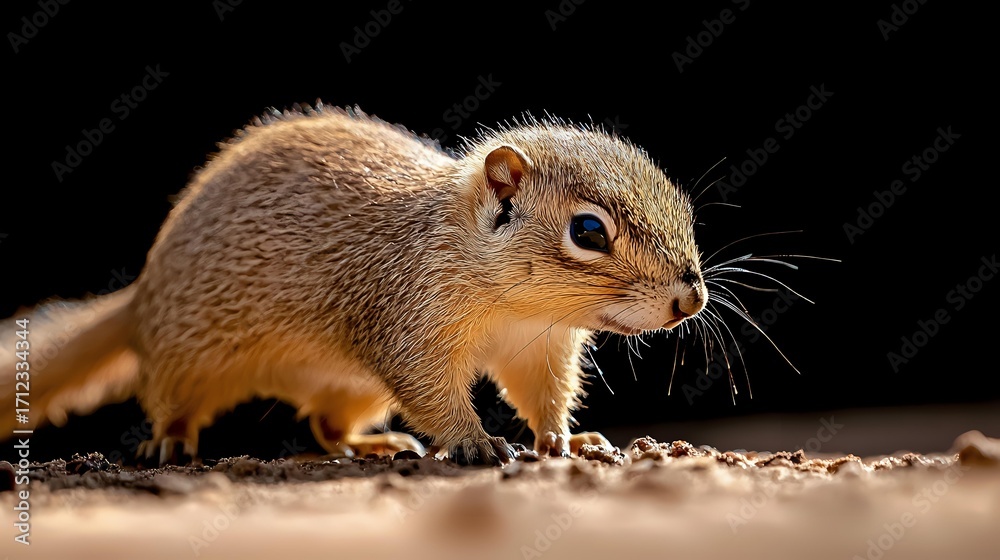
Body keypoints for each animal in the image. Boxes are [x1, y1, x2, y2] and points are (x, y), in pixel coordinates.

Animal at [1, 104, 706, 465]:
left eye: (681, 203)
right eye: (588, 231)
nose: (691, 297)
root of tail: (142, 293)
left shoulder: (540, 348)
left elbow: (544, 396)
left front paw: (565, 438)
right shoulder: (409, 322)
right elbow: (433, 392)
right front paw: (476, 442)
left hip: (356, 390)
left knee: (325, 426)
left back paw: (373, 444)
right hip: (187, 357)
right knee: (172, 402)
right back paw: (171, 442)